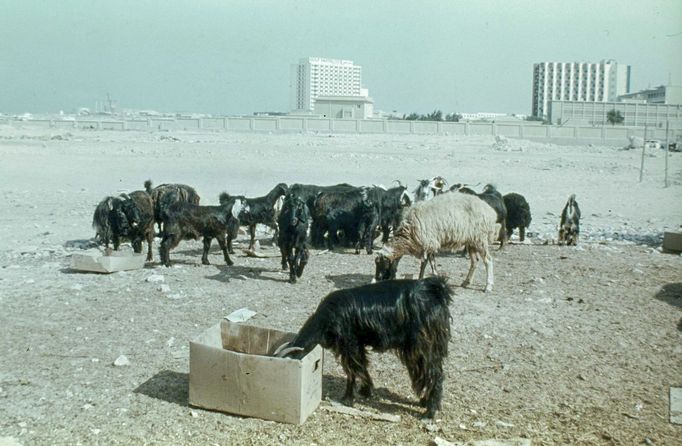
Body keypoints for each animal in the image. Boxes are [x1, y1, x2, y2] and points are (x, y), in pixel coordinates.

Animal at [270, 278, 452, 420]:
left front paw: (347, 398)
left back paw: (429, 413)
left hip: (422, 345)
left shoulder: (349, 342)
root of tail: (436, 291)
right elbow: (361, 367)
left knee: (434, 373)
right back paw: (426, 402)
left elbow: (352, 370)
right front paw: (366, 390)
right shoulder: (356, 345)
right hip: (432, 345)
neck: (326, 319)